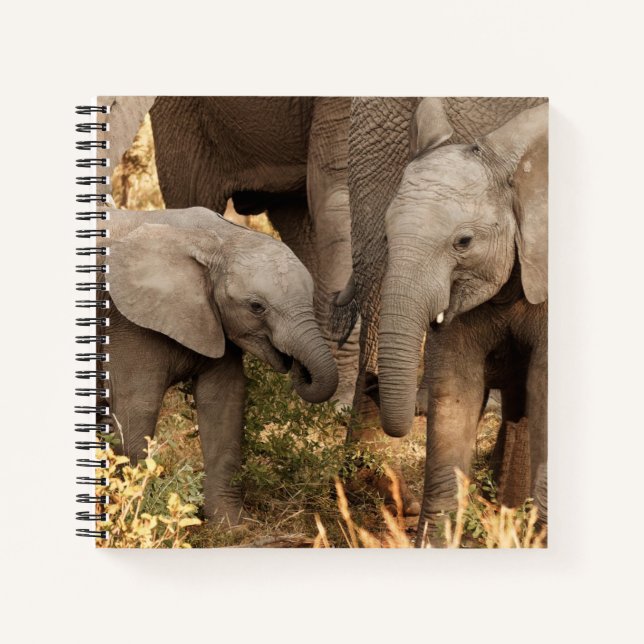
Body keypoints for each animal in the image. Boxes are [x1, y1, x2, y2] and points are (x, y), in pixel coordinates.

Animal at [97, 207, 338, 525]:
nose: (297, 365)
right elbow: (136, 410)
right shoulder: (129, 325)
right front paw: (141, 515)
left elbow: (224, 403)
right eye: (256, 307)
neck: (216, 239)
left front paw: (231, 525)